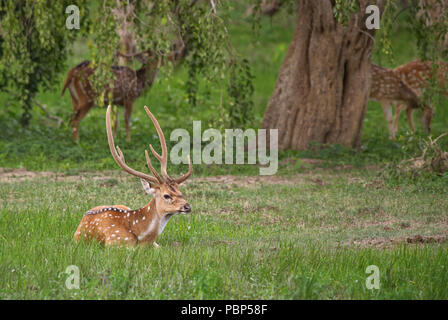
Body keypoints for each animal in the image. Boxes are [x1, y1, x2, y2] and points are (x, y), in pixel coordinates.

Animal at [74, 105, 192, 248]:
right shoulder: (113, 242)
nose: (188, 207)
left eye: (181, 193)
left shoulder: (154, 244)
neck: (142, 238)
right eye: (166, 195)